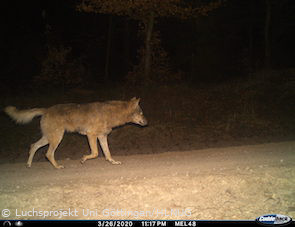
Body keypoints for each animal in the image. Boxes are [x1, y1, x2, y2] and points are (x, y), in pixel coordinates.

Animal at [4, 97, 148, 168]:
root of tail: (46, 109)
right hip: (57, 138)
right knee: (48, 154)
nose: (147, 122)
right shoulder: (91, 135)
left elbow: (107, 154)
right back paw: (57, 167)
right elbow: (95, 153)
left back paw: (29, 164)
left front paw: (113, 162)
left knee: (33, 146)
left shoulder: (102, 137)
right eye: (141, 112)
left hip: (49, 138)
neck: (111, 114)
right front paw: (83, 159)